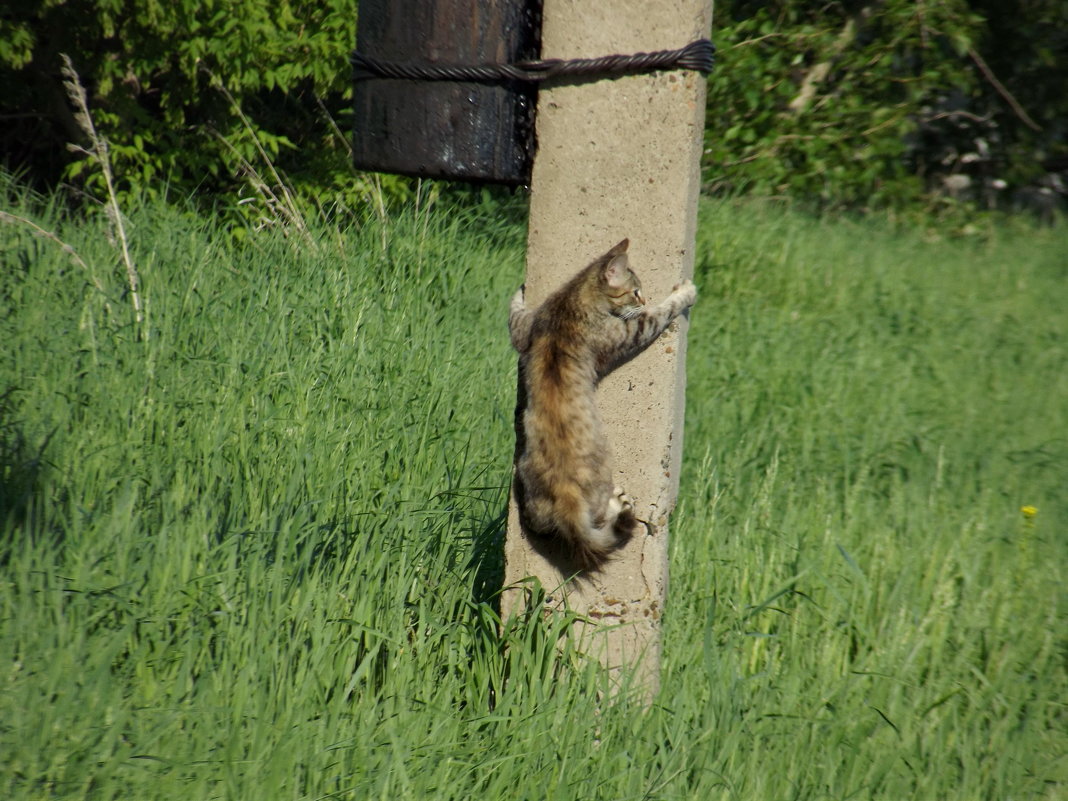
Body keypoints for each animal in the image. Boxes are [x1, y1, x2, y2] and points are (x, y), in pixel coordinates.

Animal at [510, 238, 700, 572]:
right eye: (636, 291)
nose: (644, 297)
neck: (572, 298)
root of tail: (567, 497)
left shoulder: (526, 329)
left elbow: (513, 314)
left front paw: (519, 290)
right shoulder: (632, 330)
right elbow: (660, 312)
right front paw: (684, 293)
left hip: (529, 497)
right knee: (602, 521)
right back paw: (620, 502)